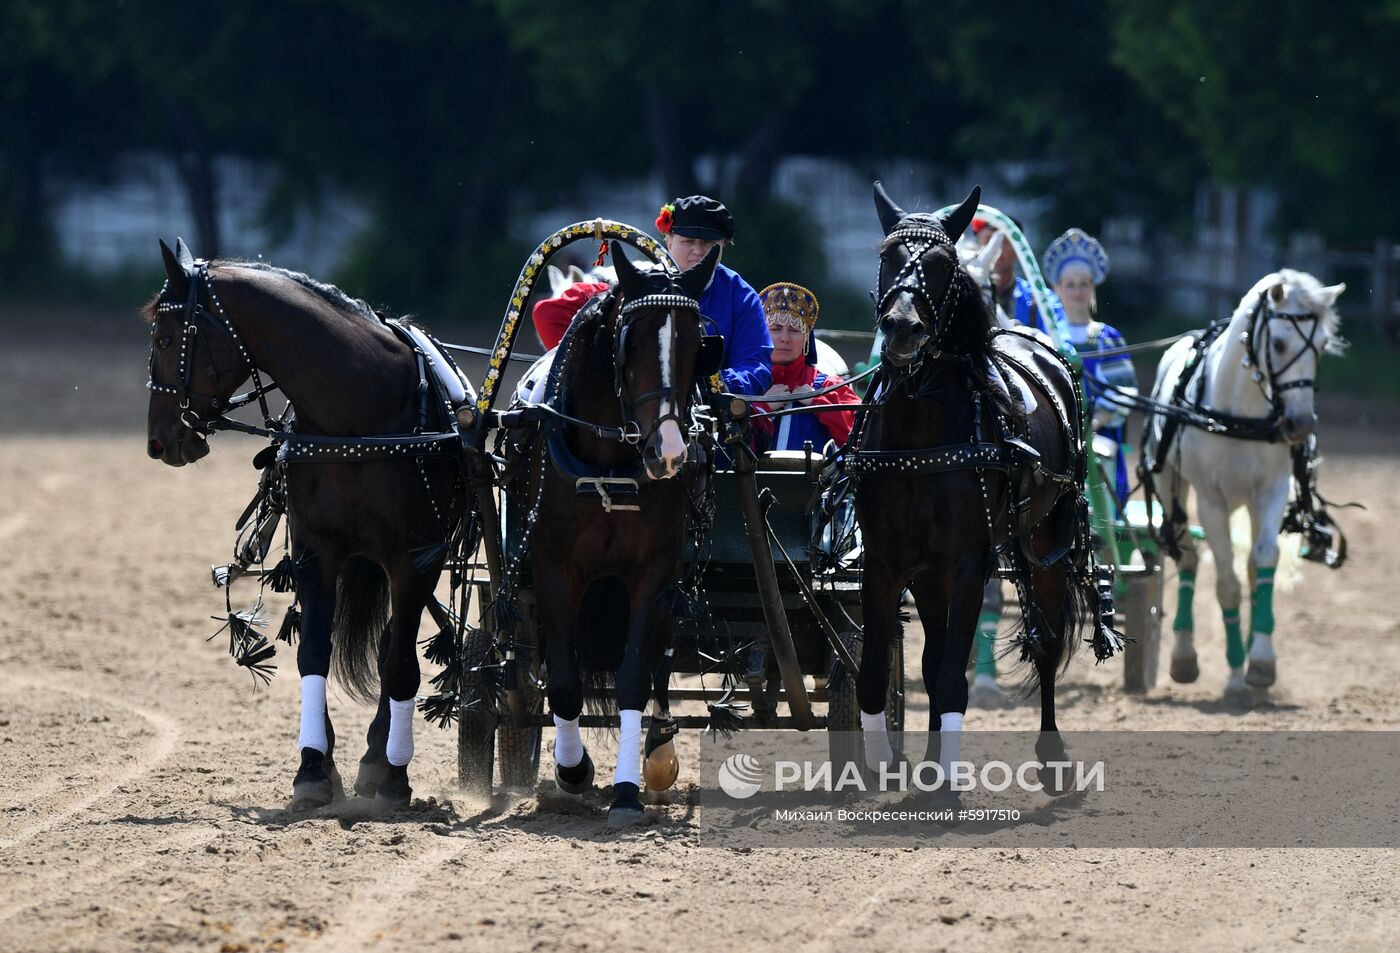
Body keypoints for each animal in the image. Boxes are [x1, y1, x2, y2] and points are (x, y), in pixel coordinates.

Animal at [145, 237, 467, 811]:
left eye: (164, 337)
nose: (158, 440)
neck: (357, 415)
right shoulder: (319, 551)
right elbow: (315, 652)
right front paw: (314, 767)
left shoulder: (414, 557)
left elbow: (401, 664)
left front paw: (395, 777)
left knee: (393, 648)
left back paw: (380, 758)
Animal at [501, 239, 722, 822]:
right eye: (631, 342)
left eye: (698, 346)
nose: (669, 453)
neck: (608, 465)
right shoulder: (553, 568)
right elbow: (563, 680)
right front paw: (573, 769)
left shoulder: (655, 570)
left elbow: (633, 676)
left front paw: (626, 790)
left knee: (661, 658)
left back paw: (659, 751)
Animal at [840, 183, 1114, 778]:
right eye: (887, 257)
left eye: (944, 266)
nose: (902, 327)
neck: (920, 437)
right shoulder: (888, 562)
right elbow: (881, 675)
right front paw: (884, 767)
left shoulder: (970, 561)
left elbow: (950, 681)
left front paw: (943, 781)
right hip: (932, 572)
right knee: (936, 652)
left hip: (1045, 541)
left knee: (1046, 639)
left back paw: (1051, 755)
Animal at [1142, 267, 1349, 699]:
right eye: (1281, 343)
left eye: (1322, 345)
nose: (1300, 424)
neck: (1238, 415)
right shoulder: (1211, 502)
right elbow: (1227, 585)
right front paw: (1236, 672)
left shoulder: (1271, 492)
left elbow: (1263, 562)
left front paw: (1261, 662)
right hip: (1171, 486)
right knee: (1188, 556)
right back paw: (1184, 657)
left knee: (1251, 566)